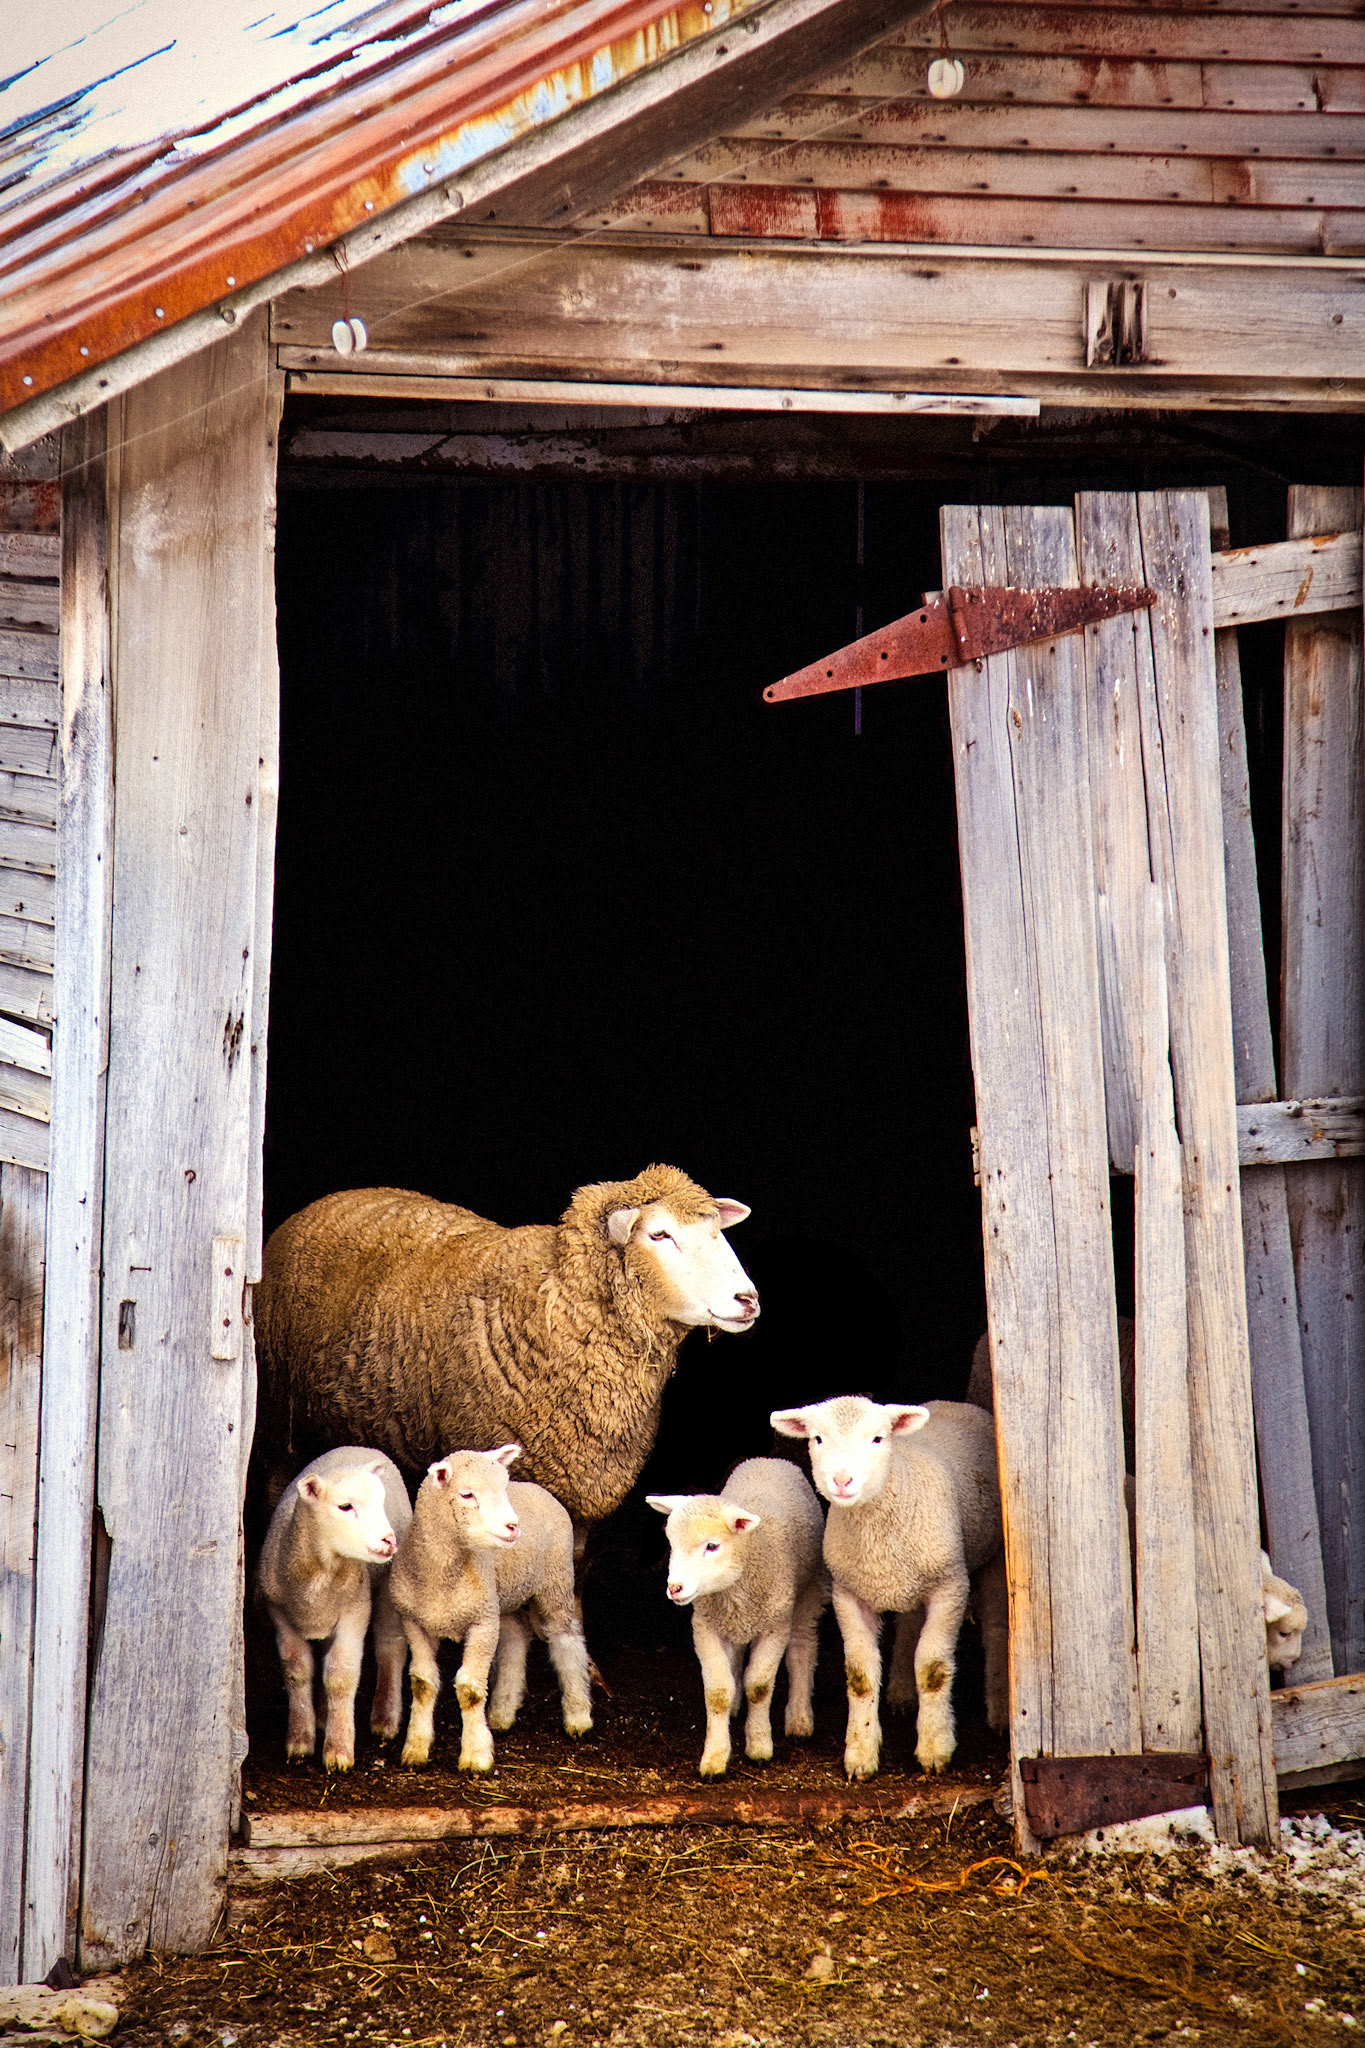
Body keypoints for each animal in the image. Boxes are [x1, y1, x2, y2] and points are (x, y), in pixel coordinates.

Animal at [255, 1167, 758, 1529]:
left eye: (717, 1231)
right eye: (659, 1235)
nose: (748, 1299)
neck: (555, 1306)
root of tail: (330, 1199)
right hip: (283, 1424)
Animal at [256, 1446, 412, 1772]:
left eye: (380, 1502)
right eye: (345, 1507)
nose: (389, 1541)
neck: (323, 1569)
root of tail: (363, 1448)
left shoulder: (355, 1611)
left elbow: (341, 1676)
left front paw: (338, 1749)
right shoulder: (280, 1613)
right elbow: (297, 1670)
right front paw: (300, 1740)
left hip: (386, 1586)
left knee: (390, 1647)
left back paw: (385, 1717)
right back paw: (323, 1715)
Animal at [389, 1443, 592, 1773]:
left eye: (503, 1487)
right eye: (467, 1495)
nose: (513, 1527)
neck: (441, 1577)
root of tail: (538, 1488)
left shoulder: (482, 1622)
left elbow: (470, 1691)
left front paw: (476, 1756)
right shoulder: (414, 1621)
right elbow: (422, 1684)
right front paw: (415, 1749)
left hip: (555, 1580)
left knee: (567, 1640)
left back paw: (578, 1714)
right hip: (505, 1597)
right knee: (515, 1639)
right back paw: (502, 1713)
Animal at [648, 1457, 828, 1778]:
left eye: (712, 1546)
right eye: (671, 1543)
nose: (674, 1588)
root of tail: (769, 1460)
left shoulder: (775, 1626)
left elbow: (759, 1686)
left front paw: (759, 1746)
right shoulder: (705, 1626)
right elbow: (717, 1692)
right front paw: (715, 1758)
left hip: (808, 1590)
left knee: (802, 1647)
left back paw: (799, 1718)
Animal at [772, 1397, 1005, 1780]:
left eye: (878, 1438)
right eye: (818, 1438)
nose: (842, 1479)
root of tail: (951, 1403)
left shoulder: (949, 1587)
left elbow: (932, 1668)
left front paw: (934, 1748)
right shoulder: (848, 1593)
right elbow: (860, 1674)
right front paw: (860, 1753)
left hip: (994, 1556)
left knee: (998, 1627)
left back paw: (1000, 1711)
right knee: (910, 1624)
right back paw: (900, 1692)